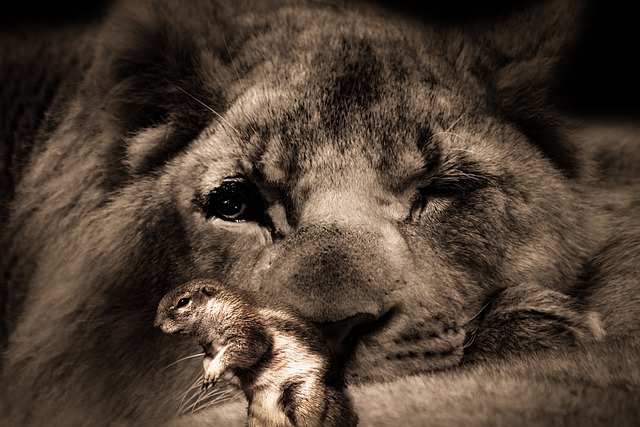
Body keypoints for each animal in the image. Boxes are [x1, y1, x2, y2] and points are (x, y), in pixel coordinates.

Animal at [153, 280, 358, 426]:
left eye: (183, 301)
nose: (156, 325)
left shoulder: (248, 331)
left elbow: (246, 349)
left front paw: (213, 370)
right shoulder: (209, 349)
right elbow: (207, 360)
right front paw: (208, 372)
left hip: (305, 398)